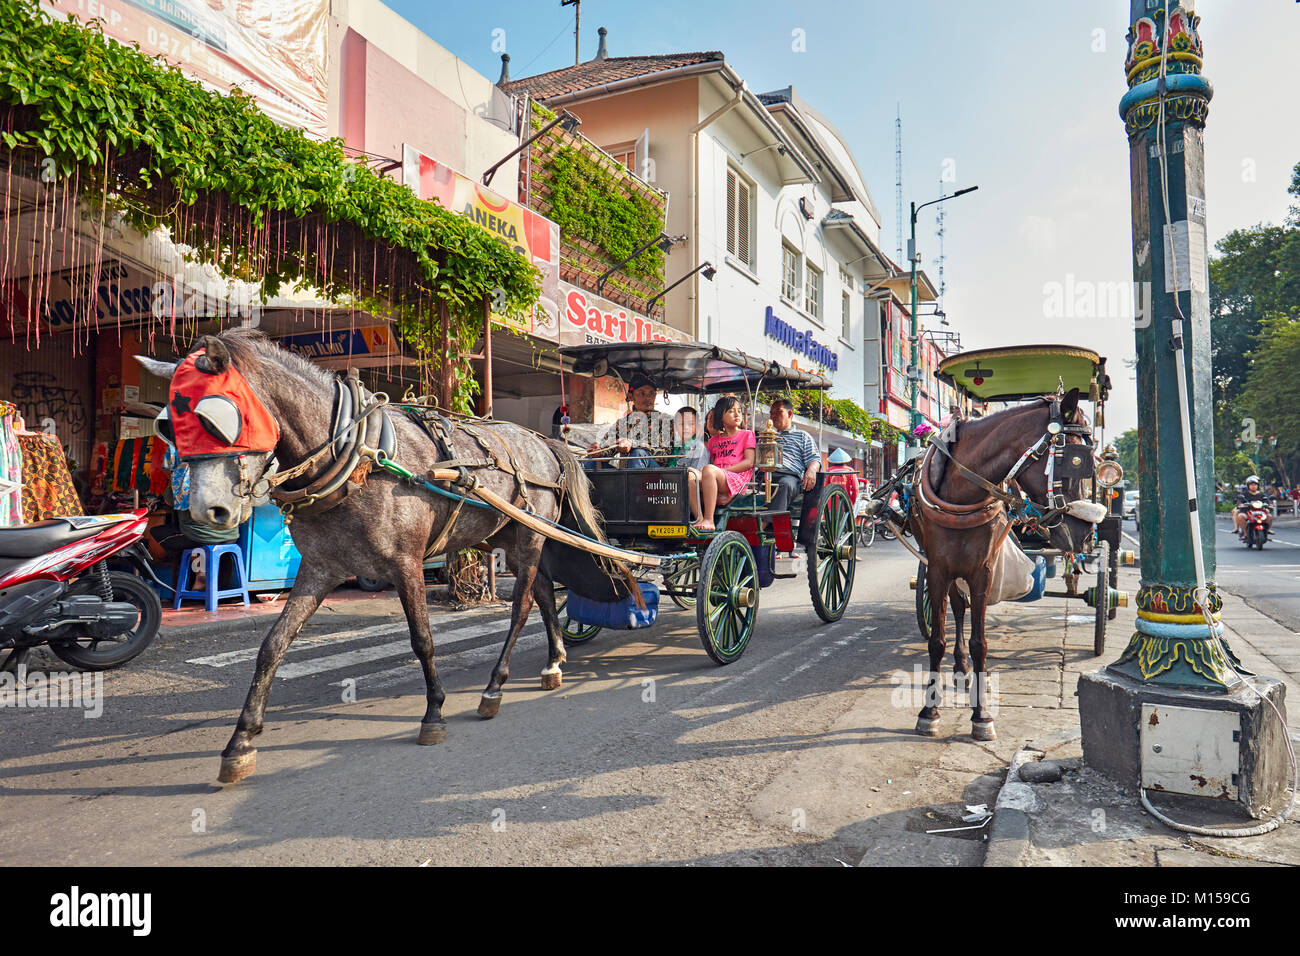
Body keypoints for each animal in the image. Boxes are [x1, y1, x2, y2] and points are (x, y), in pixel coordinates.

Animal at [909, 390, 1102, 738]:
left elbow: (980, 643)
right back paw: (959, 668)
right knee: (958, 607)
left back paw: (963, 669)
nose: (1084, 536)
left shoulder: (982, 571)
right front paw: (929, 711)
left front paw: (981, 715)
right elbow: (936, 641)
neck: (961, 495)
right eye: (1077, 460)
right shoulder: (937, 569)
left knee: (962, 609)